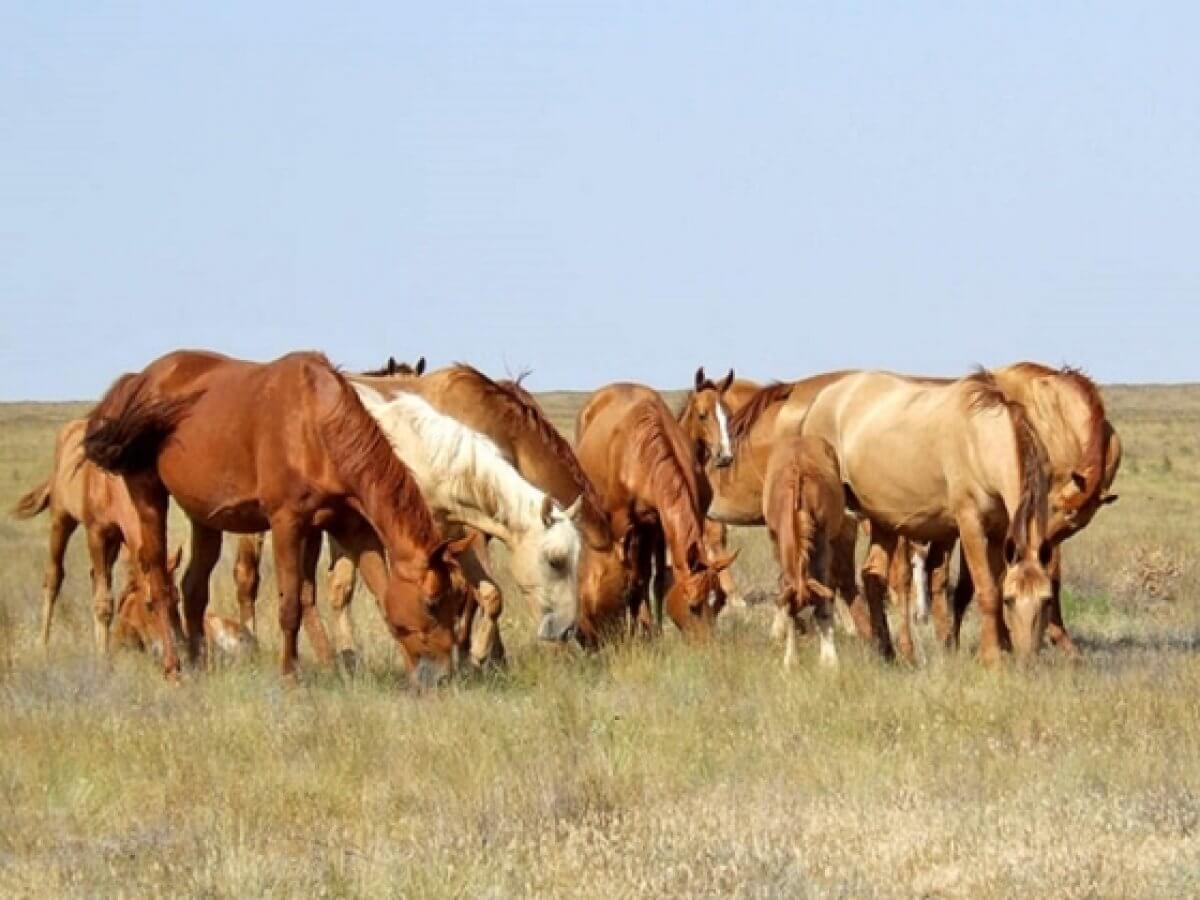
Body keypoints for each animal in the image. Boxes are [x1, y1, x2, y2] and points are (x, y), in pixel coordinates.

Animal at [82, 350, 476, 686]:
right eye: (432, 602)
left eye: (459, 599)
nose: (443, 677)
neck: (315, 425)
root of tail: (140, 379)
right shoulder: (287, 524)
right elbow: (290, 606)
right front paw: (290, 677)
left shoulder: (351, 528)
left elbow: (383, 597)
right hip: (148, 495)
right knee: (160, 583)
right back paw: (175, 668)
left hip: (204, 517)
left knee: (193, 588)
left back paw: (199, 664)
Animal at [574, 383, 735, 645]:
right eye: (693, 605)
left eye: (720, 601)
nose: (707, 647)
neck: (639, 454)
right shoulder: (623, 526)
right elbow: (630, 579)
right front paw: (635, 632)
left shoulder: (659, 524)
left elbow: (656, 579)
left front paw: (653, 631)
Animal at [762, 435, 845, 669]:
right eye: (794, 608)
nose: (803, 629)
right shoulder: (776, 541)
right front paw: (791, 660)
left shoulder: (824, 545)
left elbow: (826, 604)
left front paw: (829, 660)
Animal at [798, 369, 1054, 664]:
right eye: (1010, 600)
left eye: (1047, 600)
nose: (1027, 661)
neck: (979, 440)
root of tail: (821, 400)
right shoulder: (970, 524)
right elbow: (987, 591)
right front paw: (992, 660)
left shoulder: (999, 533)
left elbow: (991, 584)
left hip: (882, 521)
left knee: (872, 575)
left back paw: (892, 652)